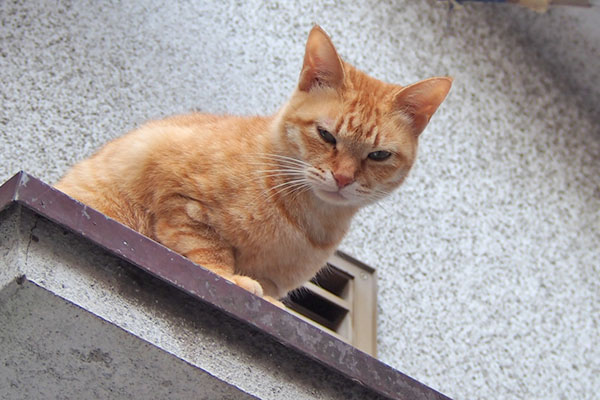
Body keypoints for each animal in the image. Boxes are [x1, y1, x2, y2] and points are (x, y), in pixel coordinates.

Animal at [55, 25, 450, 304]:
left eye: (378, 155)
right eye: (326, 135)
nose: (342, 178)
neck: (305, 220)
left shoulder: (277, 278)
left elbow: (270, 290)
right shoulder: (171, 180)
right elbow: (205, 245)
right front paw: (229, 276)